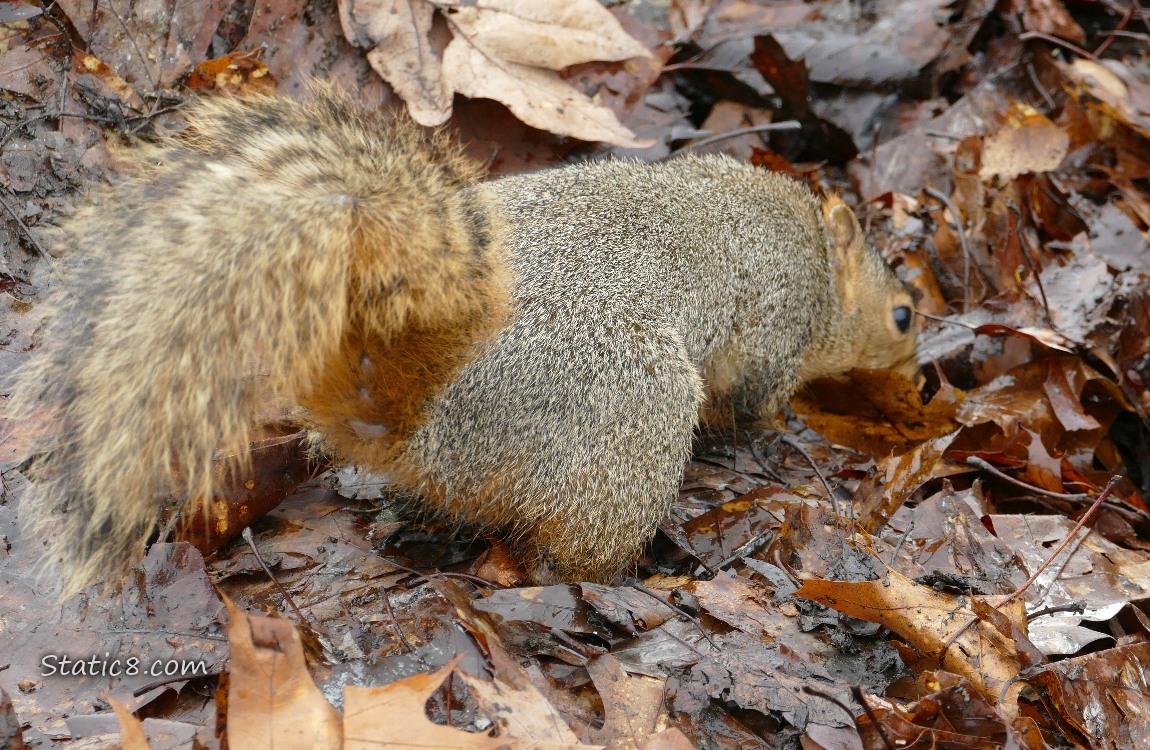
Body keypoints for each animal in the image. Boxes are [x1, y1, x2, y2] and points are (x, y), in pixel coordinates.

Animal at [8, 83, 920, 598]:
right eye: (904, 314)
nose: (919, 369)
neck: (810, 250)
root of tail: (417, 421)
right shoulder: (775, 327)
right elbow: (757, 398)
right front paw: (782, 426)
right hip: (632, 418)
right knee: (571, 552)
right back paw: (628, 577)